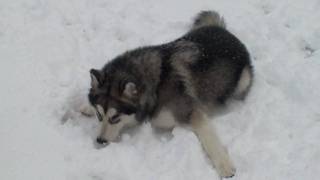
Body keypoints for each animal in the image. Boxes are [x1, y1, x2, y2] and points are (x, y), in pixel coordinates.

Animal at [84, 10, 254, 178]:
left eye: (115, 117)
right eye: (99, 115)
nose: (100, 140)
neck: (156, 86)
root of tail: (222, 30)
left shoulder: (192, 113)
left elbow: (209, 139)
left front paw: (224, 165)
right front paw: (84, 107)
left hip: (242, 82)